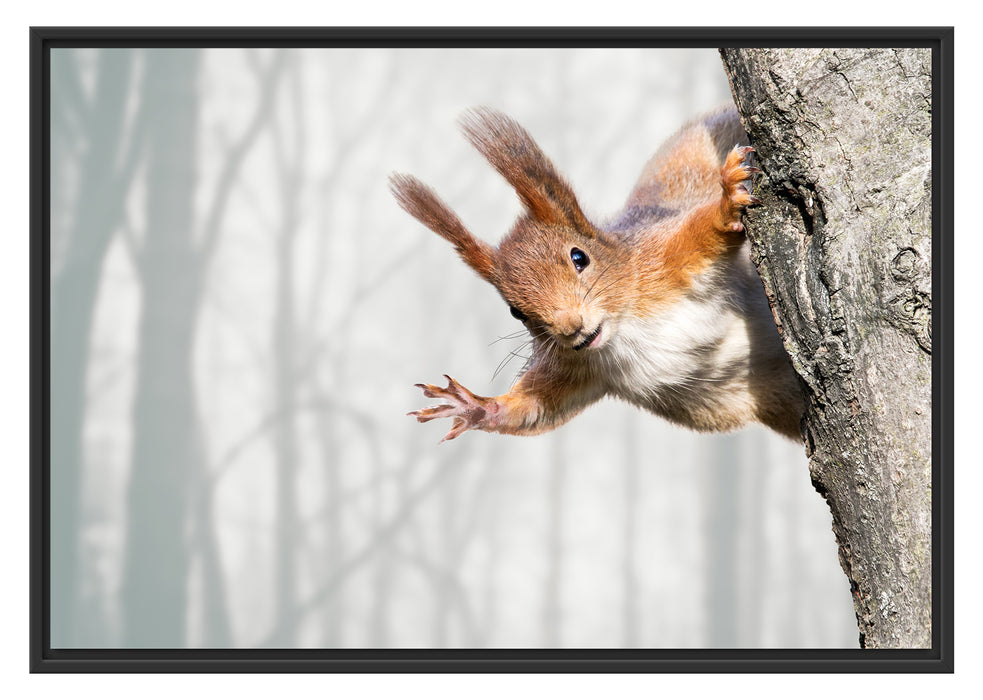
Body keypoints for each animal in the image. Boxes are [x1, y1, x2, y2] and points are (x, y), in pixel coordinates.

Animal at [390, 105, 804, 442]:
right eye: (515, 311)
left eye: (579, 257)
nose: (571, 328)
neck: (624, 329)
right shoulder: (576, 368)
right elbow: (536, 408)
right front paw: (475, 406)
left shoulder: (661, 260)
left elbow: (702, 232)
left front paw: (726, 202)